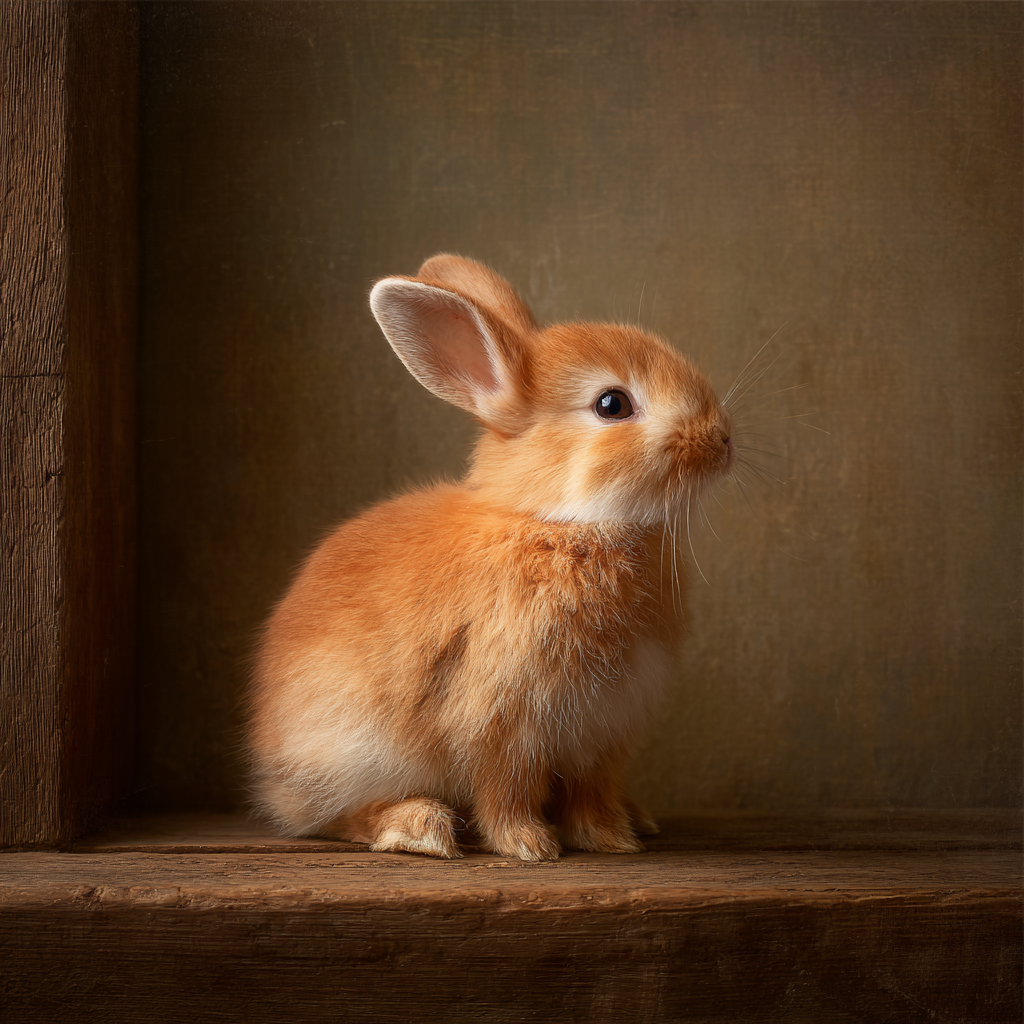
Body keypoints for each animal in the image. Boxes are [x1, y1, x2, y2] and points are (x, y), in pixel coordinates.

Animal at [247, 254, 733, 861]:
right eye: (611, 404)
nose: (722, 440)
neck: (557, 522)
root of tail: (272, 774)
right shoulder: (505, 723)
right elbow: (506, 792)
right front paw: (531, 847)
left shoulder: (602, 734)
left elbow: (591, 792)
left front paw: (611, 838)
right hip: (351, 756)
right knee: (336, 817)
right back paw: (419, 827)